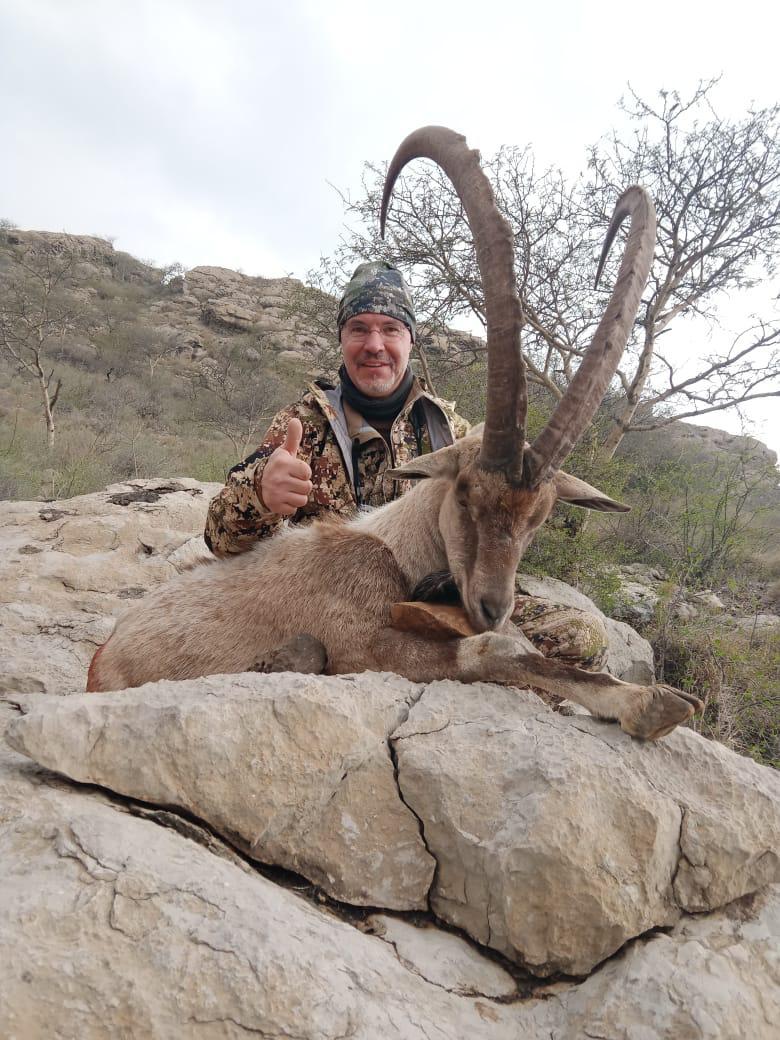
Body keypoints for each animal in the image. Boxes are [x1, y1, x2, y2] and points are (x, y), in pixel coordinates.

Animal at [87, 126, 702, 740]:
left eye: (541, 516)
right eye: (465, 494)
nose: (490, 606)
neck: (391, 549)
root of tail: (102, 657)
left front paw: (650, 698)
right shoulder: (363, 646)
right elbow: (494, 651)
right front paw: (648, 703)